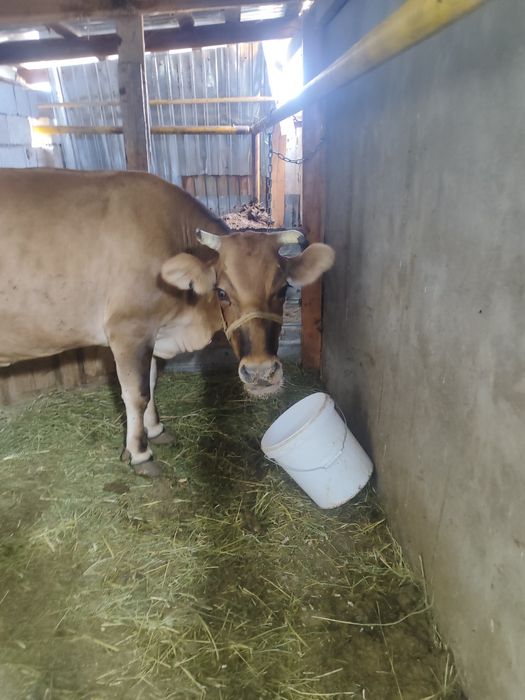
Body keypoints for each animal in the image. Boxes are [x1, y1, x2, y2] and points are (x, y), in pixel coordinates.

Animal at [0, 168, 334, 476]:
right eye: (222, 292)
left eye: (283, 289)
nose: (261, 373)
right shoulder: (128, 330)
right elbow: (136, 394)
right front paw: (139, 453)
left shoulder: (151, 332)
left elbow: (150, 382)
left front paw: (156, 430)